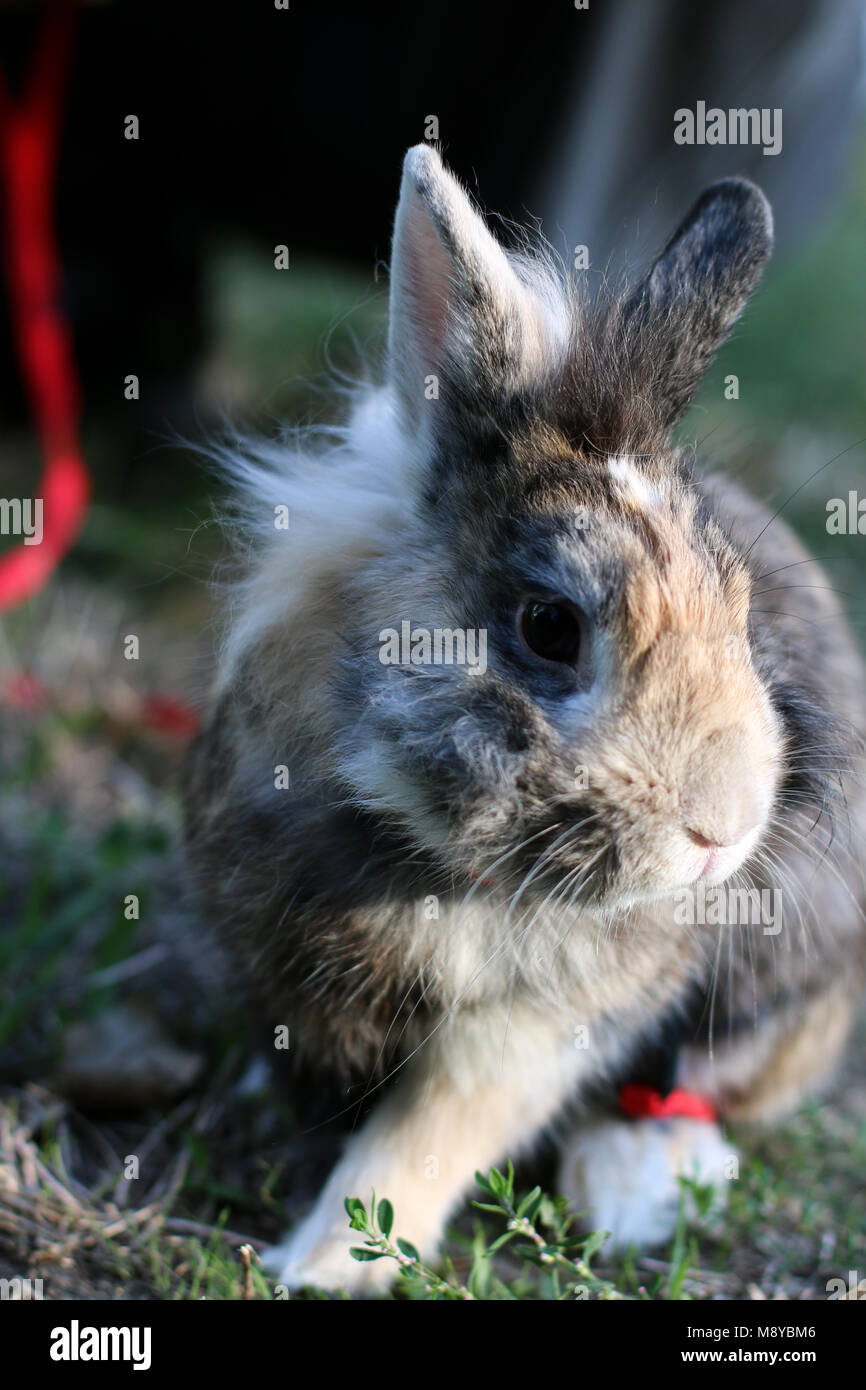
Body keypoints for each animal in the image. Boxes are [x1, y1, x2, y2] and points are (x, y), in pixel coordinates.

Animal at [184, 143, 866, 1289]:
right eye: (549, 626)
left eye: (740, 610)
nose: (721, 833)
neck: (437, 861)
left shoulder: (533, 1030)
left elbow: (427, 1139)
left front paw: (324, 1267)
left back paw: (633, 1180)